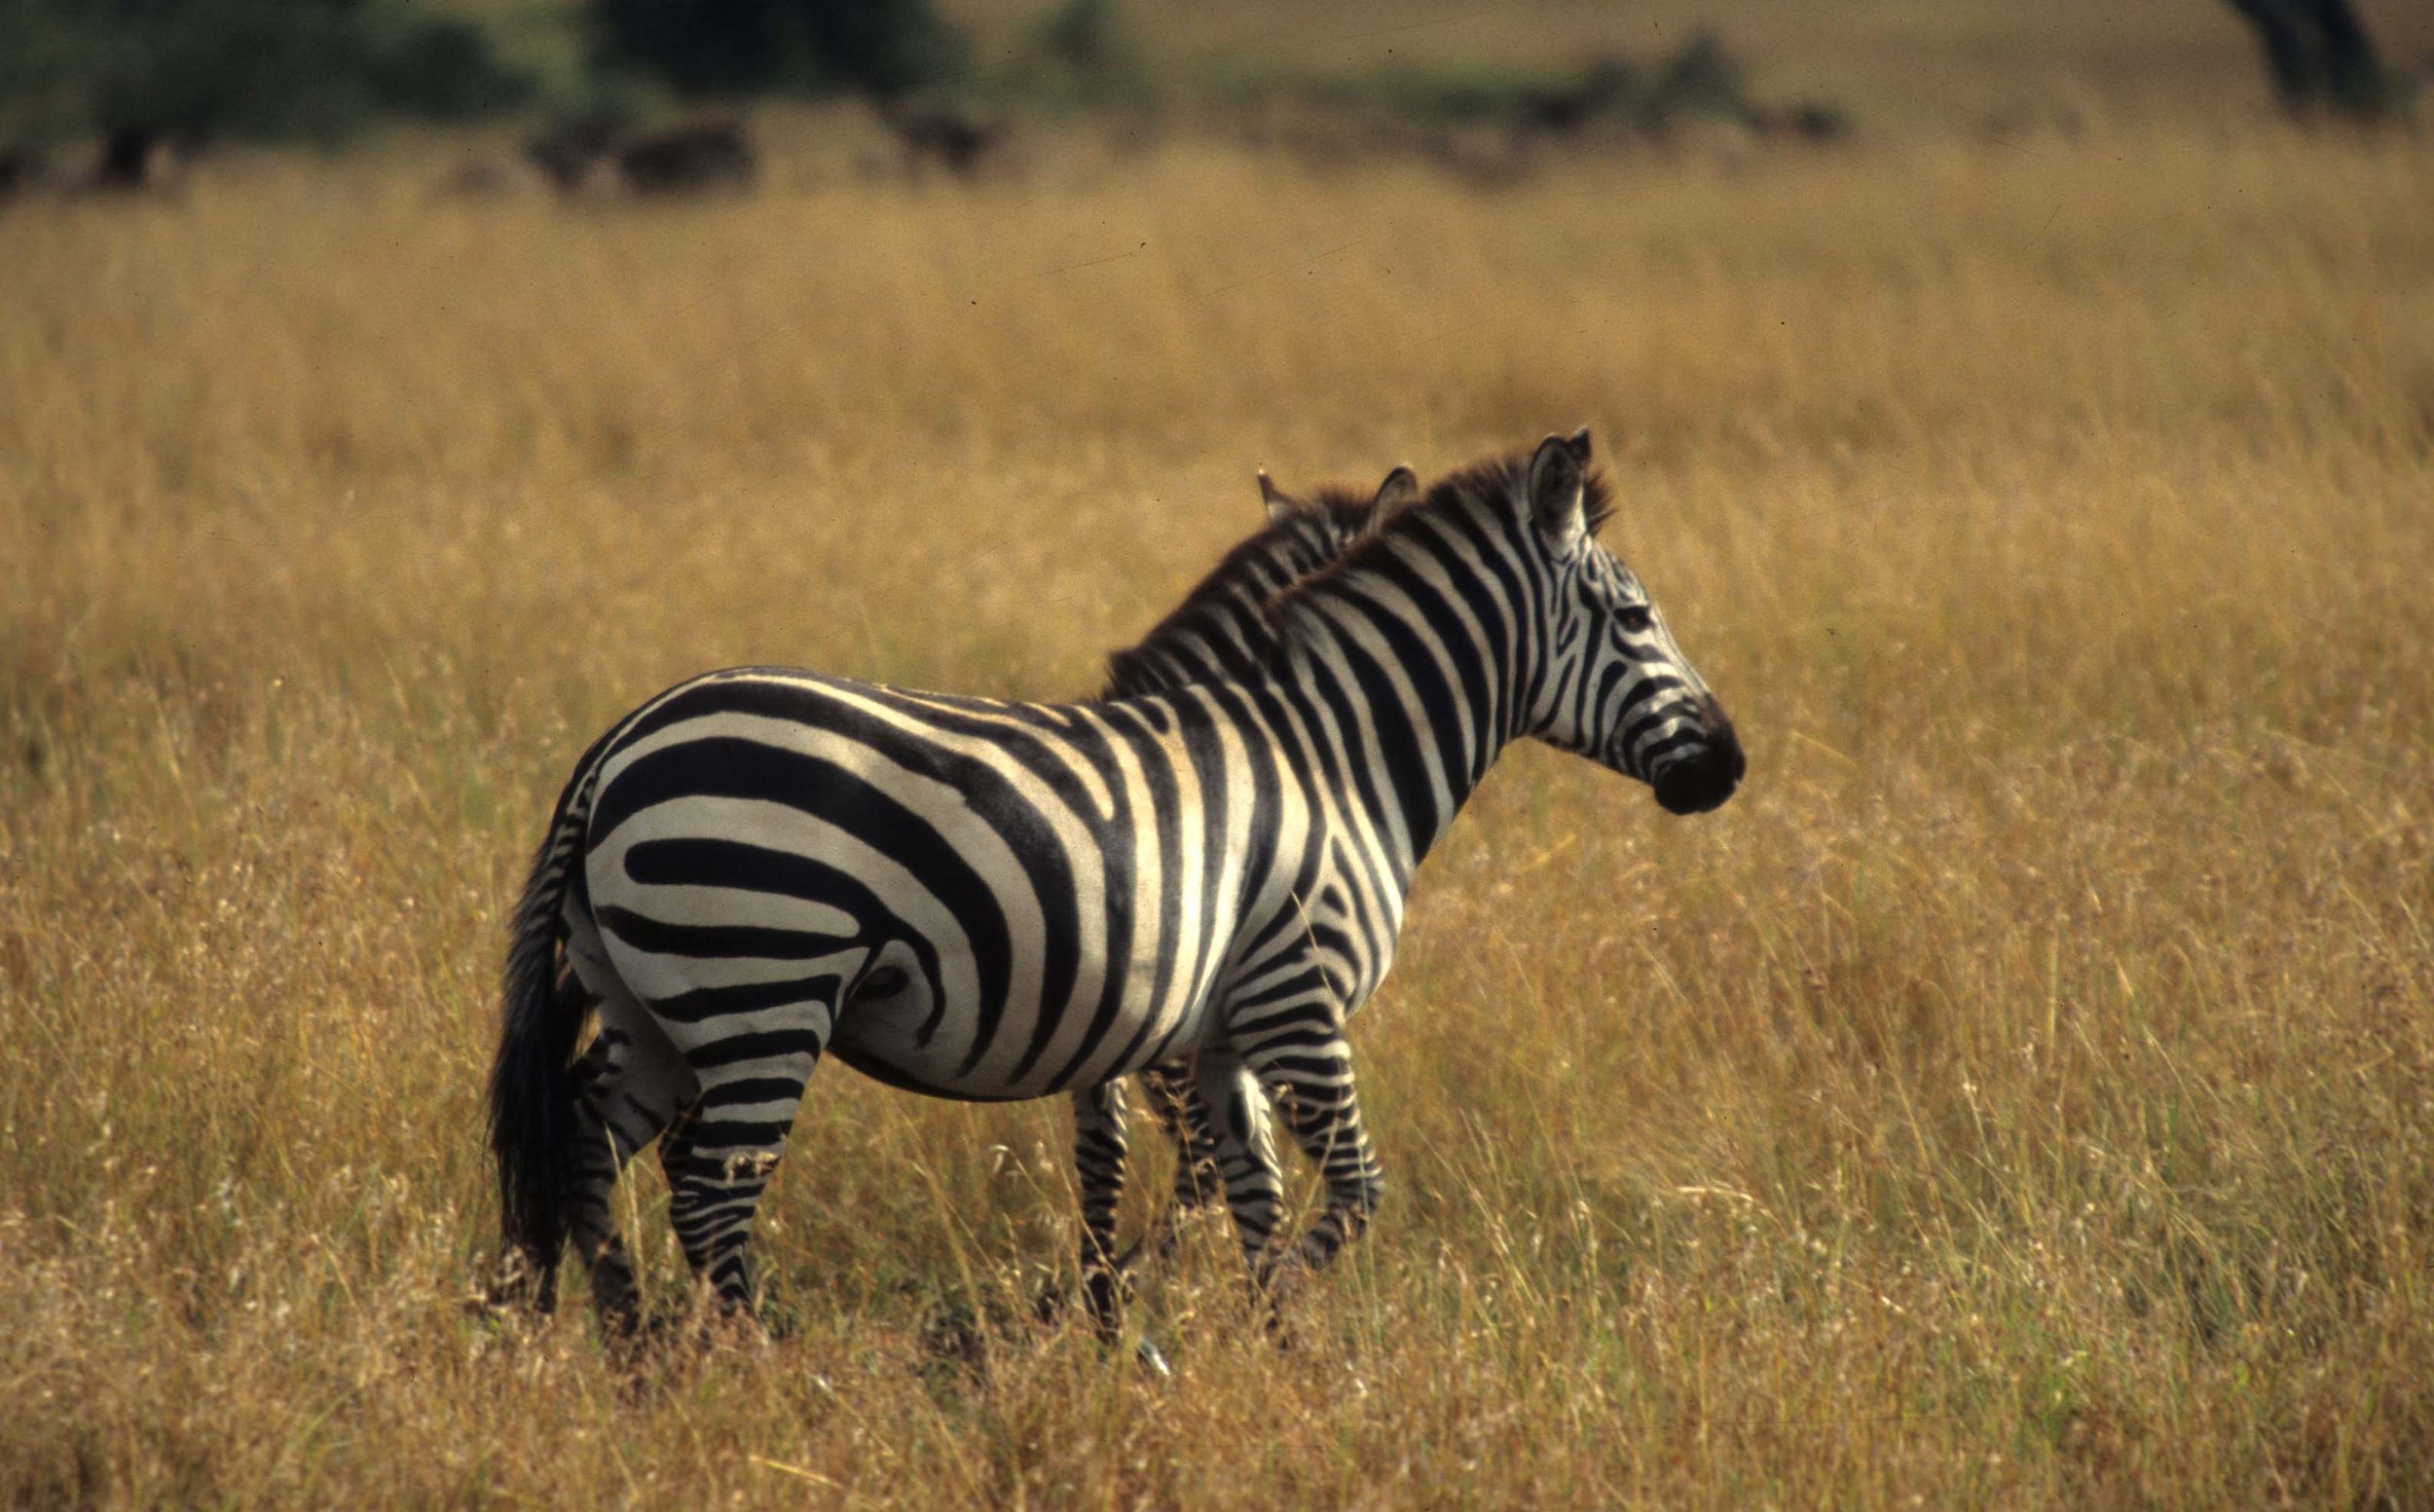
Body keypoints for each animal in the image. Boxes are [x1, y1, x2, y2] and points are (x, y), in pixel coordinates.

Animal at [487, 429, 1744, 1347]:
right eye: (1637, 616)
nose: (1729, 766)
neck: (1335, 753)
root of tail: (616, 745)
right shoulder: (1293, 998)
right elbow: (1337, 1194)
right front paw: (1170, 1323)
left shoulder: (1208, 1025)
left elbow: (1240, 1197)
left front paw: (1255, 1357)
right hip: (761, 986)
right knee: (710, 1191)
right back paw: (756, 1370)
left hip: (655, 1006)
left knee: (585, 1152)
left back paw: (635, 1358)